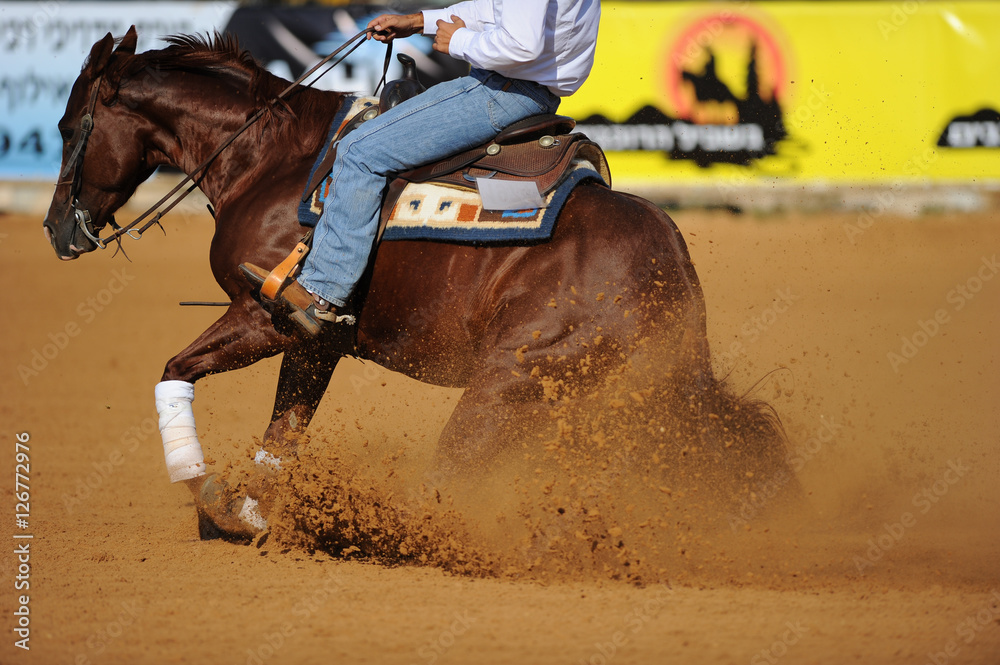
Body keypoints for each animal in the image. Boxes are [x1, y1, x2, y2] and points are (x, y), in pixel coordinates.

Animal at [43, 28, 790, 541]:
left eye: (69, 125)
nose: (57, 230)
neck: (269, 158)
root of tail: (672, 272)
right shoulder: (318, 342)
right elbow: (284, 429)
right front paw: (251, 513)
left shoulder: (266, 316)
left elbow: (175, 370)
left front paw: (207, 494)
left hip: (509, 385)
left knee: (450, 480)